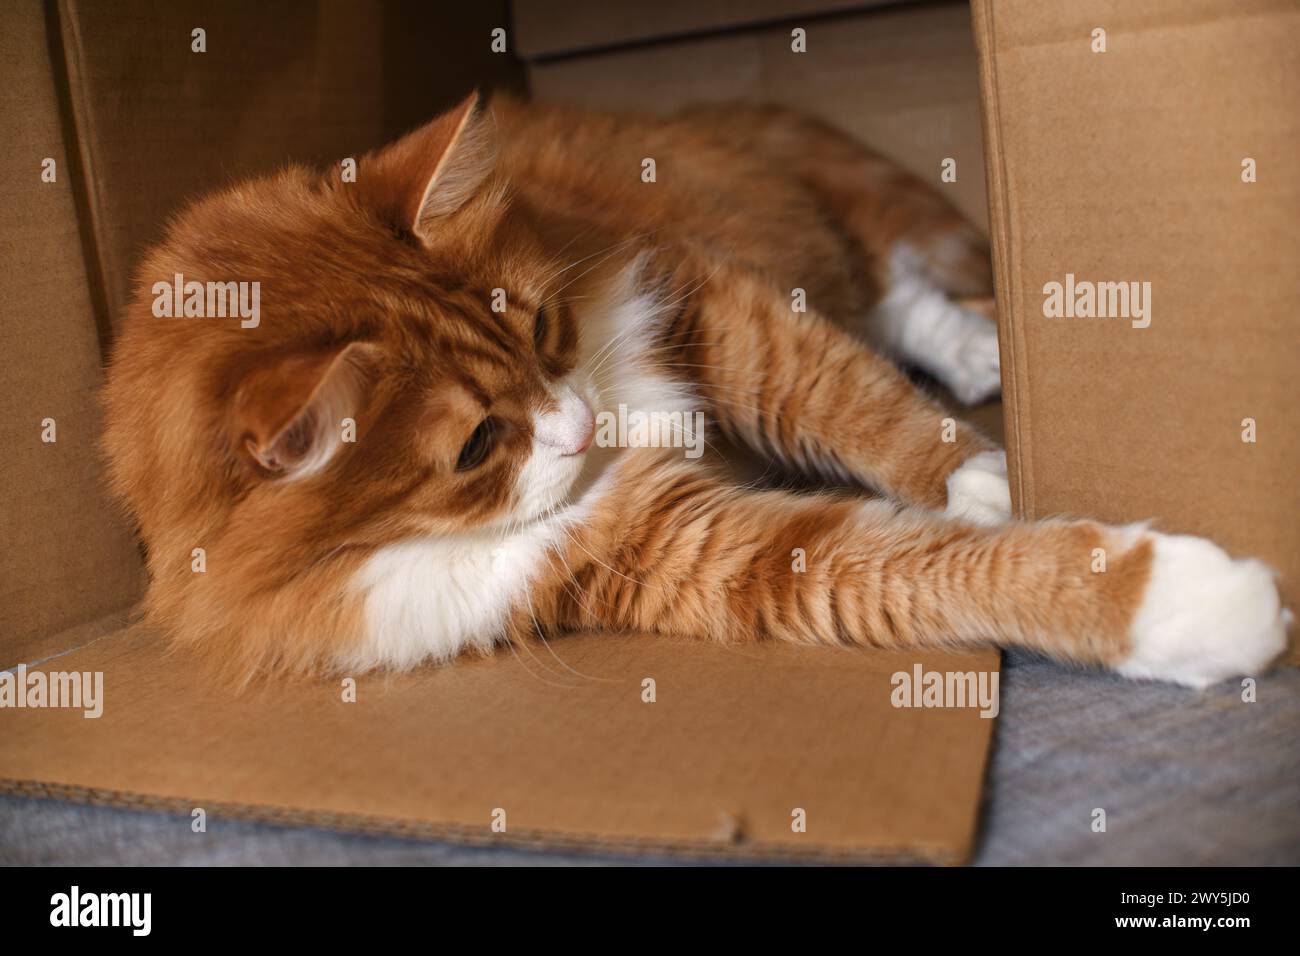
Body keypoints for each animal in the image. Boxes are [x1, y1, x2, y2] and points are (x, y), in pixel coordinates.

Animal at [96, 91, 1284, 686]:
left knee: (892, 293)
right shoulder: (675, 546)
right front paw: (1191, 607)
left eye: (541, 327)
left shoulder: (697, 293)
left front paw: (975, 473)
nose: (580, 427)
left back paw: (979, 354)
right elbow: (921, 567)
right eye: (476, 446)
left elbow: (845, 396)